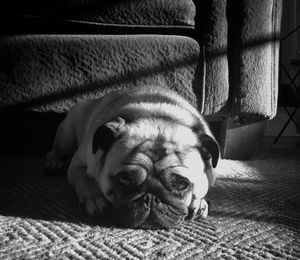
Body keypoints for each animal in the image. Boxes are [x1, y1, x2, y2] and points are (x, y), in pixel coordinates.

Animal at [45, 86, 219, 229]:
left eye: (182, 185)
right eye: (124, 179)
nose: (151, 198)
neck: (157, 116)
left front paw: (199, 202)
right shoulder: (77, 164)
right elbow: (84, 178)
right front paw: (94, 198)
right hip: (66, 135)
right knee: (57, 149)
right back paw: (55, 162)